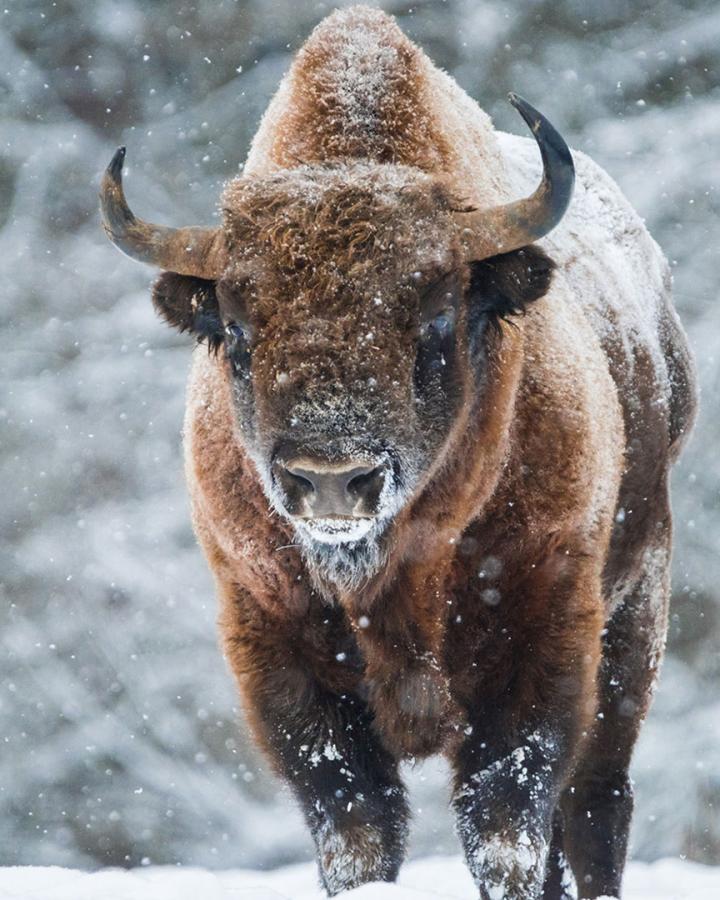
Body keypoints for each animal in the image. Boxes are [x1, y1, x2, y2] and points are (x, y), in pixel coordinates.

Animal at [98, 7, 696, 900]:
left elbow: (507, 823)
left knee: (596, 803)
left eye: (436, 318)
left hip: (636, 615)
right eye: (234, 331)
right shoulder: (276, 649)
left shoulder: (544, 641)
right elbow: (355, 828)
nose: (331, 479)